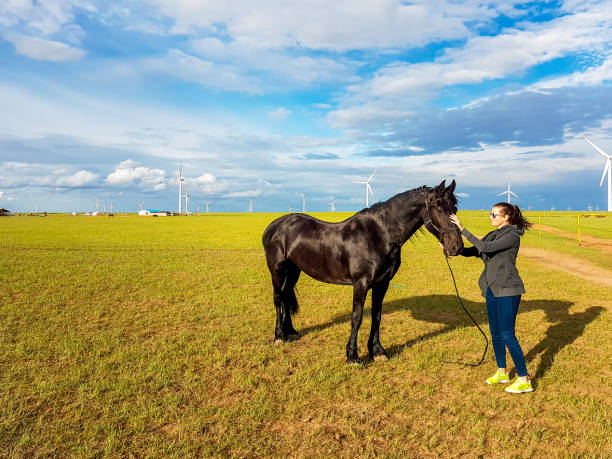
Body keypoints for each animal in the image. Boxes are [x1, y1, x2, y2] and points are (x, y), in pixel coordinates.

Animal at [260, 180, 462, 362]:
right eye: (439, 209)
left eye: (455, 209)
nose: (456, 246)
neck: (379, 235)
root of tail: (274, 226)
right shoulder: (361, 283)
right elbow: (356, 317)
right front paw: (352, 355)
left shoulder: (382, 283)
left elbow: (376, 316)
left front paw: (377, 351)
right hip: (278, 270)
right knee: (278, 298)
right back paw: (279, 336)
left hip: (294, 270)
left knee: (286, 296)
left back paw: (291, 332)